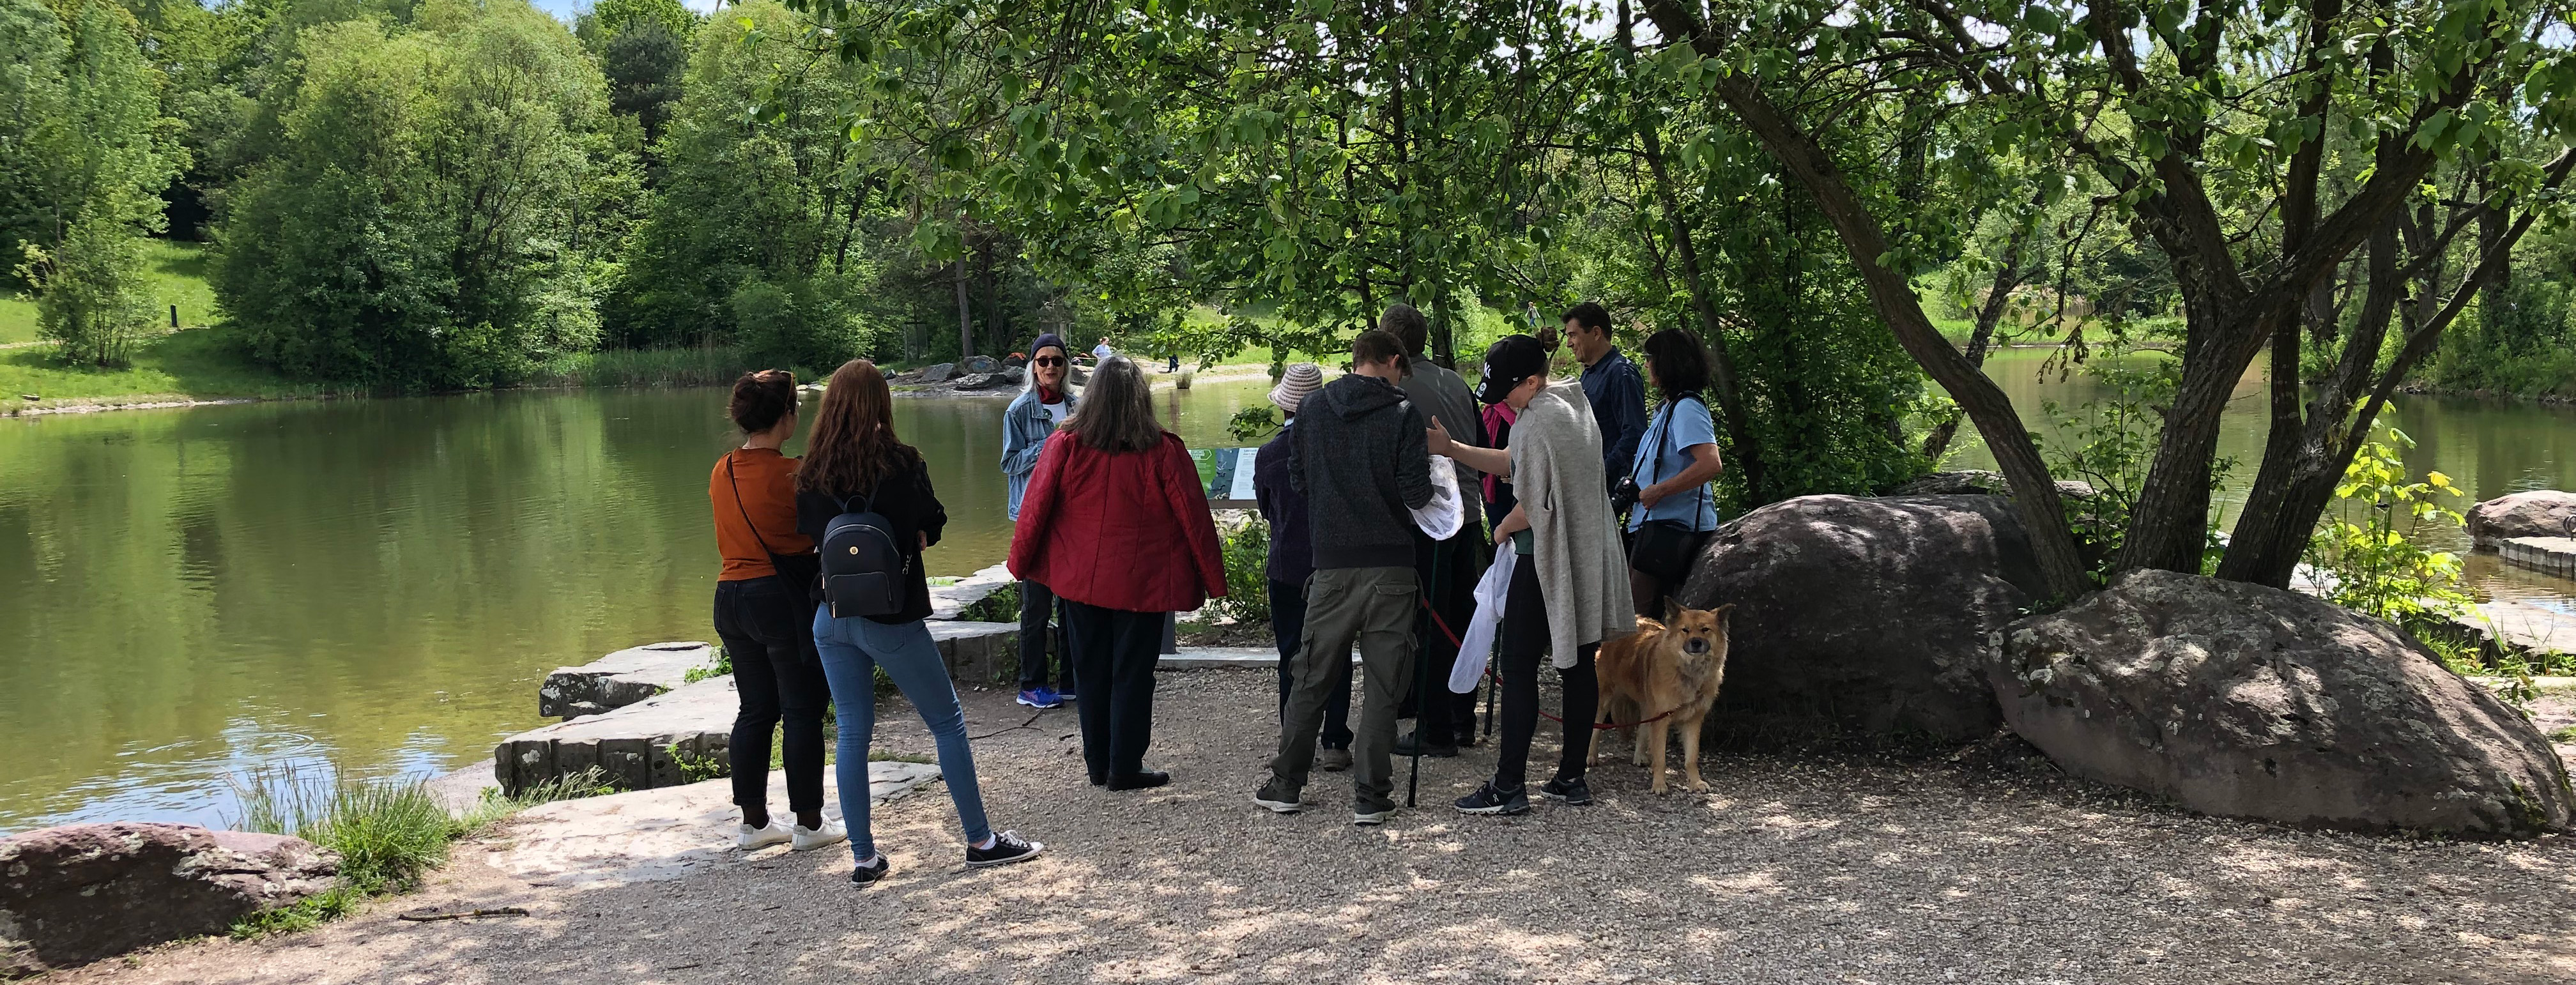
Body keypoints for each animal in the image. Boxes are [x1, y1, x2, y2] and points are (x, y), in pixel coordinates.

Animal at [1586, 600, 1731, 794]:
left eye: (1705, 629)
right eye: (1685, 630)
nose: (1696, 643)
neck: (1688, 672)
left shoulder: (1693, 720)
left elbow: (1692, 757)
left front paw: (1695, 782)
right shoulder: (1662, 719)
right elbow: (1661, 757)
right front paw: (1659, 784)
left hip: (1647, 704)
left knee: (1642, 729)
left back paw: (1640, 756)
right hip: (1605, 697)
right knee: (1596, 727)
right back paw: (1591, 757)